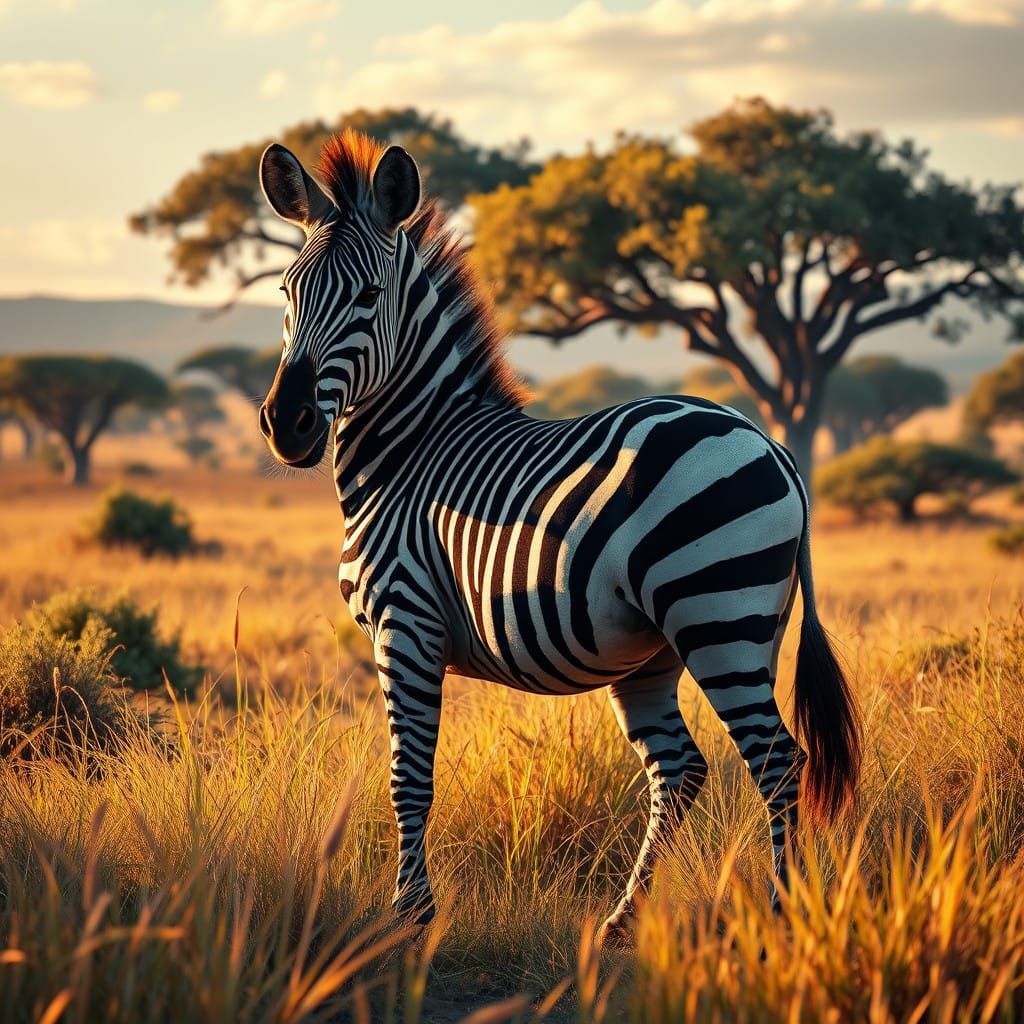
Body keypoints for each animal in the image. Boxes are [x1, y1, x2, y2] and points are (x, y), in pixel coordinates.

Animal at [256, 130, 861, 941]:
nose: (284, 425)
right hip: (667, 650)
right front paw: (412, 915)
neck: (411, 451)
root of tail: (772, 443)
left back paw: (781, 918)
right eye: (288, 294)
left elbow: (408, 779)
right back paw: (621, 923)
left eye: (368, 297)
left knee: (776, 762)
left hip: (717, 618)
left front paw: (409, 920)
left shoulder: (404, 624)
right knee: (681, 769)